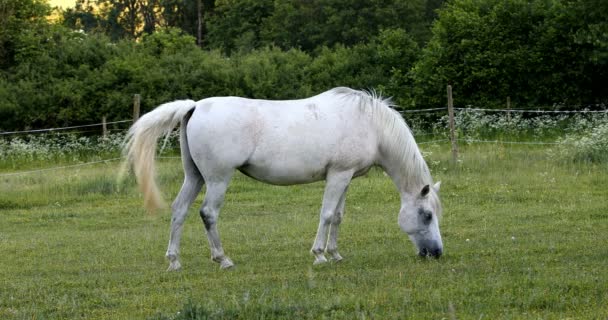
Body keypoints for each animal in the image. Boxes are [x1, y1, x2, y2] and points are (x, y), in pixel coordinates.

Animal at [123, 87, 444, 270]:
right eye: (427, 215)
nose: (437, 253)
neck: (370, 123)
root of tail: (195, 106)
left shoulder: (346, 177)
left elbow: (338, 216)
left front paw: (335, 254)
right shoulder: (338, 175)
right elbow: (327, 214)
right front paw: (319, 255)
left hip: (195, 177)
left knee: (179, 211)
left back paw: (174, 261)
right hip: (217, 179)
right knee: (208, 213)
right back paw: (223, 259)